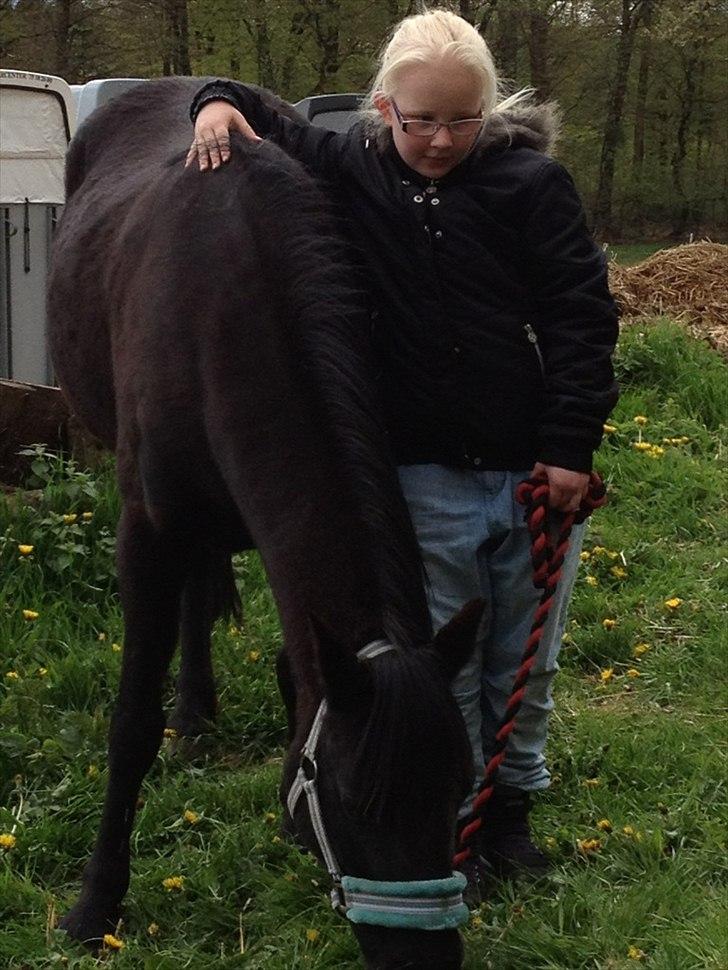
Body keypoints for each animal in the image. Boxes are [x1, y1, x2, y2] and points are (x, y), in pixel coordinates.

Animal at [47, 77, 483, 970]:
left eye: (459, 789)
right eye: (356, 801)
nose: (425, 962)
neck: (227, 300)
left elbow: (296, 662)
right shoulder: (147, 532)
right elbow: (129, 723)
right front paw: (95, 903)